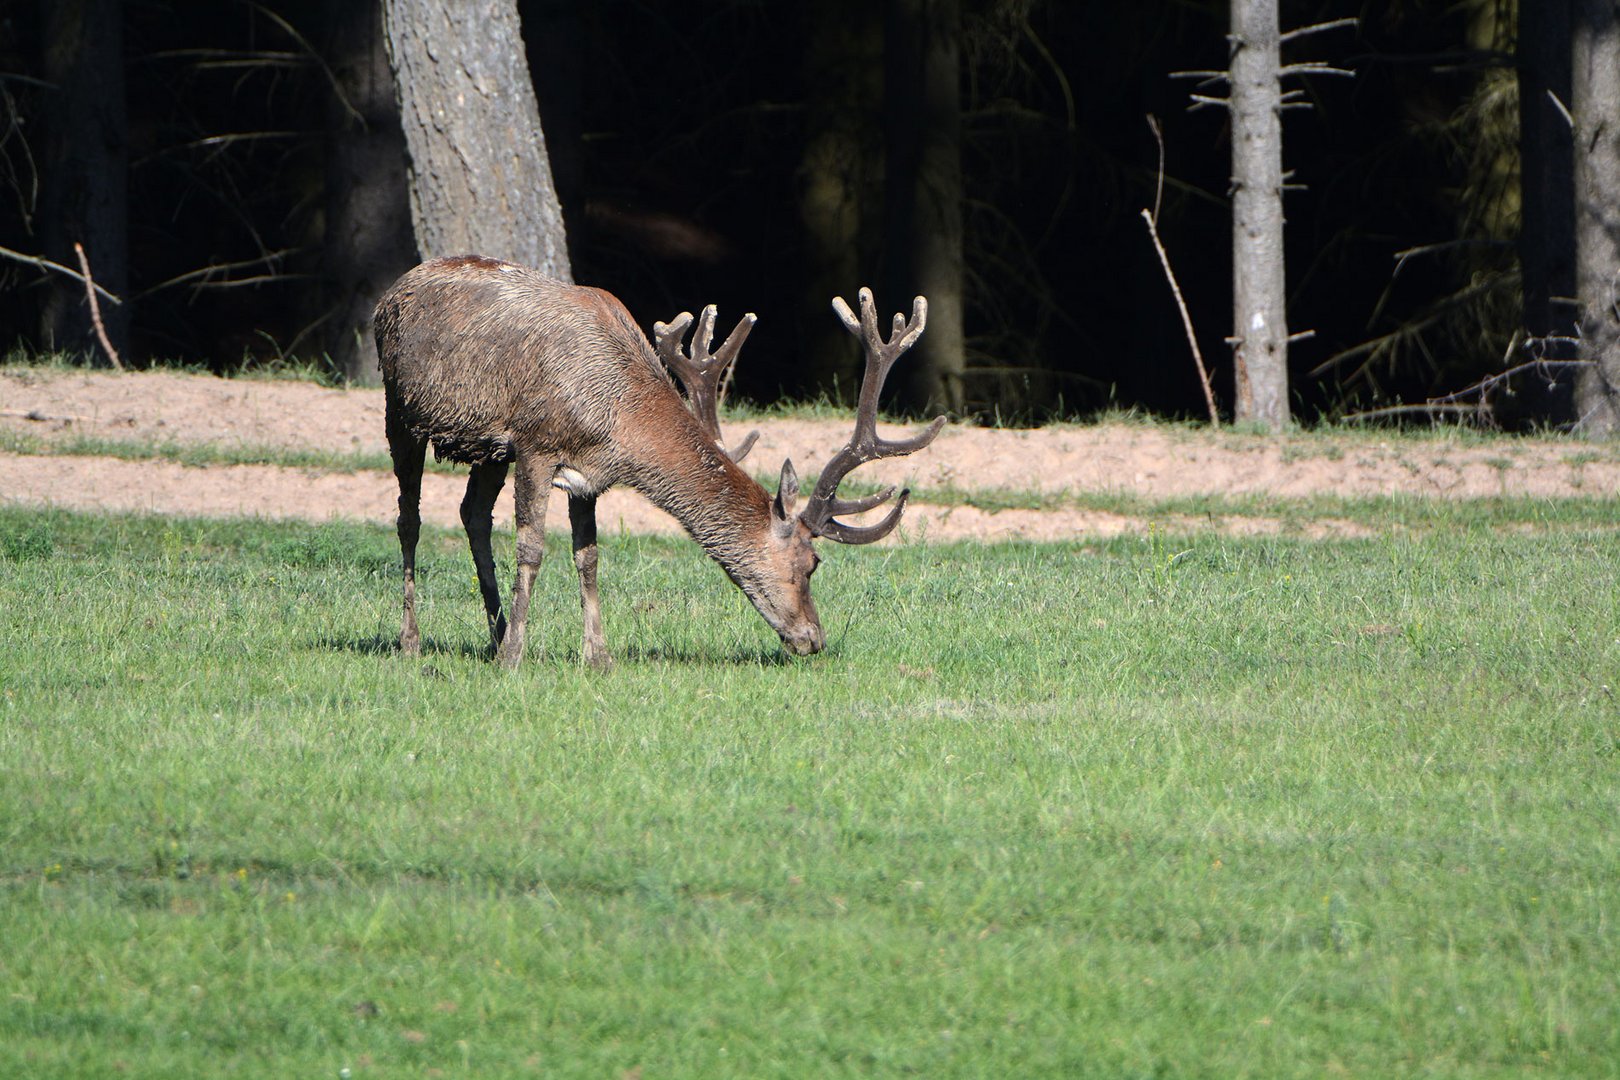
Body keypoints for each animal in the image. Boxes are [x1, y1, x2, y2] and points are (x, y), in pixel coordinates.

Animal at [372, 257, 946, 670]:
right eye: (812, 563)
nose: (814, 638)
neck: (618, 416)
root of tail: (389, 293)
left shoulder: (588, 475)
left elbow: (588, 556)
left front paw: (598, 658)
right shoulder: (536, 443)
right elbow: (532, 548)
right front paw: (515, 659)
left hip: (488, 448)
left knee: (472, 515)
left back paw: (492, 633)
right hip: (400, 408)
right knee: (409, 519)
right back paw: (413, 642)